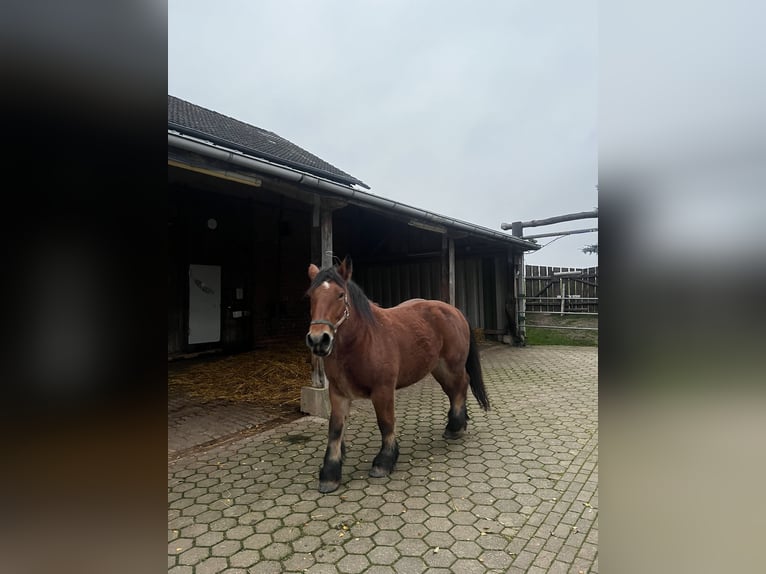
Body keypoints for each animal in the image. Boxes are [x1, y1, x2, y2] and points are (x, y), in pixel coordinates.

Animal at [306, 258, 492, 496]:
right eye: (311, 296)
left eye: (340, 295)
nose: (318, 340)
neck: (362, 340)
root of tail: (454, 311)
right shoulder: (338, 393)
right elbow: (335, 430)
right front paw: (330, 474)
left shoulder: (383, 390)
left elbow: (386, 423)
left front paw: (384, 462)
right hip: (438, 368)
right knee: (454, 391)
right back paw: (456, 423)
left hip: (453, 366)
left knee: (461, 386)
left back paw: (455, 428)